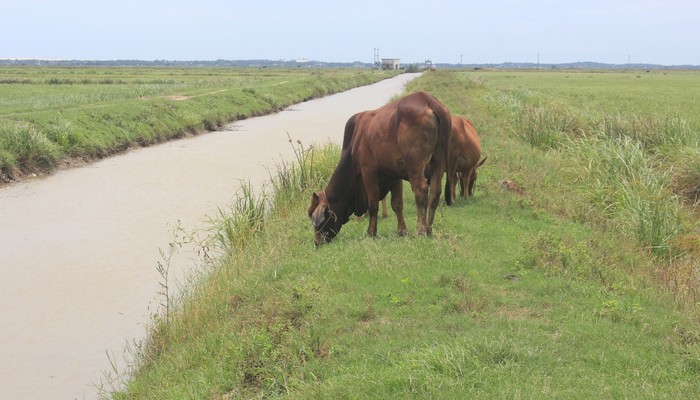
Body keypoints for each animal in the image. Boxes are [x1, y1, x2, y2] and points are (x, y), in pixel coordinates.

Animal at [308, 92, 452, 245]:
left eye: (314, 217)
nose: (317, 242)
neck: (353, 145)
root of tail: (427, 99)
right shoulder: (395, 175)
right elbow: (397, 204)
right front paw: (402, 231)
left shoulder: (368, 172)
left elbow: (373, 205)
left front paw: (371, 232)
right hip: (438, 162)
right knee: (435, 192)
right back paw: (429, 229)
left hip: (415, 164)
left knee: (421, 190)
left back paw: (420, 230)